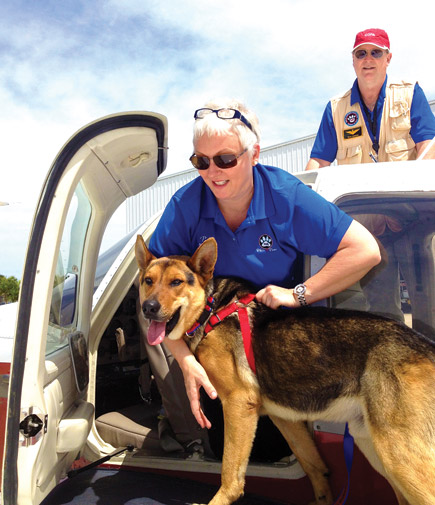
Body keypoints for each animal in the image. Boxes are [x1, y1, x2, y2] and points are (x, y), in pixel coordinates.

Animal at [135, 236, 435, 504]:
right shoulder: (283, 417)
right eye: (148, 281)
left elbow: (230, 474)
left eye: (176, 282)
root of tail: (426, 347)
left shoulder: (238, 404)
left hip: (399, 455)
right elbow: (315, 466)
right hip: (373, 446)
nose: (147, 308)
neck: (211, 309)